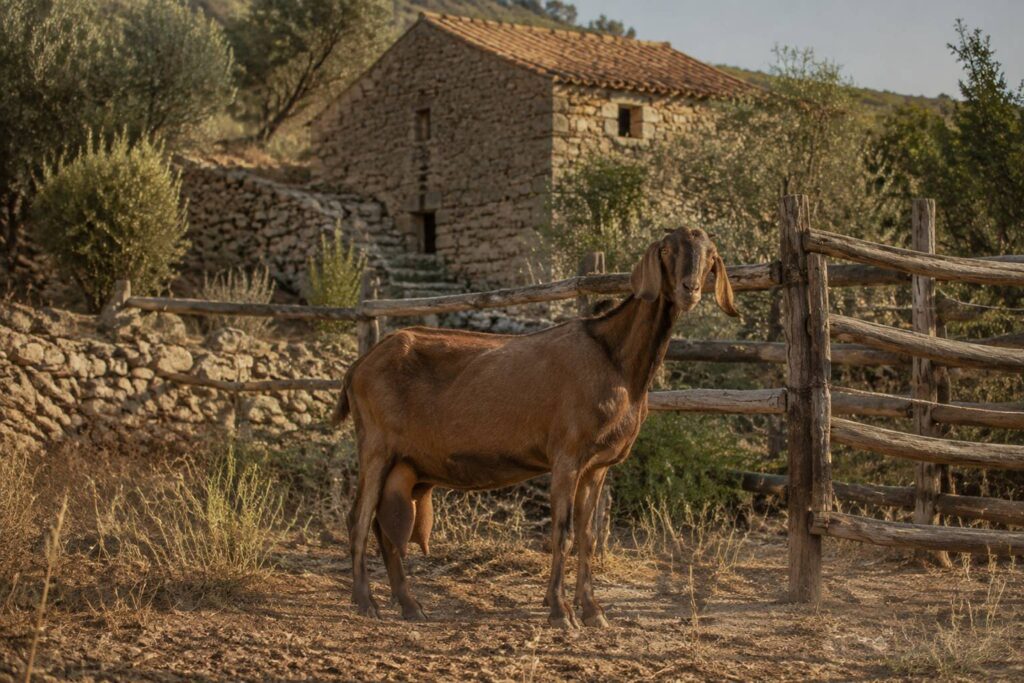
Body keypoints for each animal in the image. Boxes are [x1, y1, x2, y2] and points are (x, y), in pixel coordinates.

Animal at [333, 227, 738, 628]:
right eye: (667, 250)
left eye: (711, 254)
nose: (689, 288)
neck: (616, 360)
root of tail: (358, 366)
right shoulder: (567, 456)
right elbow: (561, 533)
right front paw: (561, 611)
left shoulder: (596, 466)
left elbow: (588, 536)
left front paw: (593, 611)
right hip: (376, 446)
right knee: (359, 519)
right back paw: (365, 602)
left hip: (405, 462)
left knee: (385, 526)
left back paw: (409, 605)